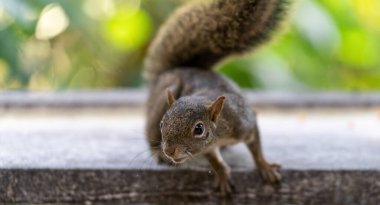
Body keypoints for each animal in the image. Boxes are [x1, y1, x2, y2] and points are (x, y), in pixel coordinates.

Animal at [144, 0, 286, 195]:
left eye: (199, 129)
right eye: (162, 124)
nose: (169, 151)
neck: (220, 132)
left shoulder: (244, 122)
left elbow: (256, 147)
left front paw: (265, 166)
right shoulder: (208, 147)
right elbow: (213, 159)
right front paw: (222, 175)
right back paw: (157, 153)